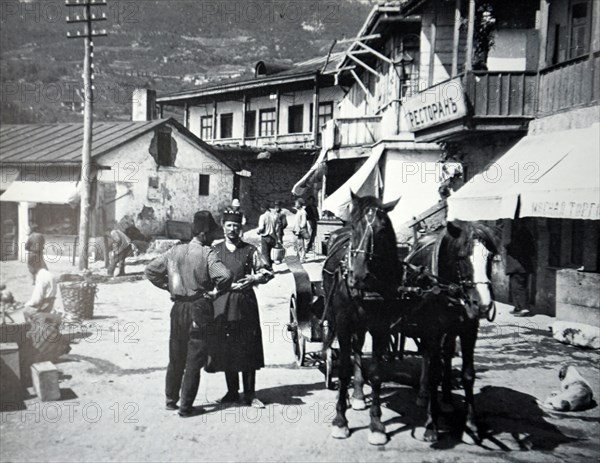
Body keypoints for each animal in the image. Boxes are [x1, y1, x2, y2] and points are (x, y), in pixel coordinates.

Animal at [322, 192, 400, 446]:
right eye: (355, 226)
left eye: (383, 229)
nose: (358, 275)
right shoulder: (343, 322)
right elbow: (343, 369)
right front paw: (340, 421)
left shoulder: (381, 327)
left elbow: (375, 373)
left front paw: (376, 425)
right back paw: (347, 396)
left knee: (357, 349)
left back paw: (356, 394)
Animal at [404, 219, 502, 444]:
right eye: (461, 257)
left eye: (490, 257)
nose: (483, 306)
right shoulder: (431, 330)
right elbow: (433, 372)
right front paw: (431, 425)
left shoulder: (468, 330)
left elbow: (468, 375)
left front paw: (471, 426)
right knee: (428, 356)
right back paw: (424, 394)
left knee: (445, 355)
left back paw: (446, 399)